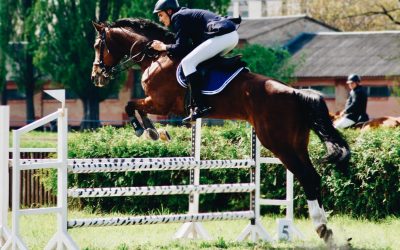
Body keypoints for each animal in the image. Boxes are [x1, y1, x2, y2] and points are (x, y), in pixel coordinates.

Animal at [90, 18, 350, 244]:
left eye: (97, 46)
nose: (96, 77)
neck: (156, 56)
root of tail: (296, 92)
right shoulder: (156, 103)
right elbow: (136, 108)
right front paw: (155, 132)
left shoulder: (159, 103)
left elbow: (130, 105)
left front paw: (145, 131)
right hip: (296, 142)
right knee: (313, 177)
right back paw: (327, 230)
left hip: (278, 143)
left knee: (306, 176)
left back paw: (321, 228)